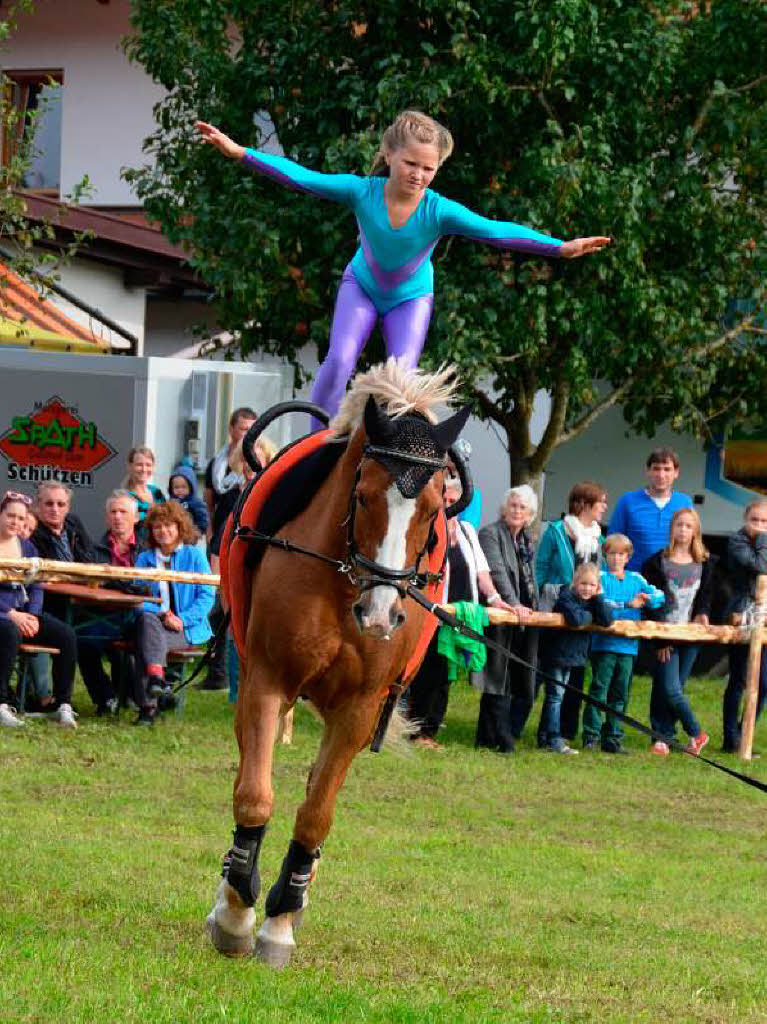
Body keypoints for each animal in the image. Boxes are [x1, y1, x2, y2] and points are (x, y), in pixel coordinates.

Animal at [203, 362, 466, 966]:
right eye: (364, 496)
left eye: (433, 508)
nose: (382, 613)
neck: (344, 582)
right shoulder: (267, 683)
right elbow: (254, 798)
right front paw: (237, 914)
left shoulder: (358, 709)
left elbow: (316, 814)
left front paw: (280, 921)